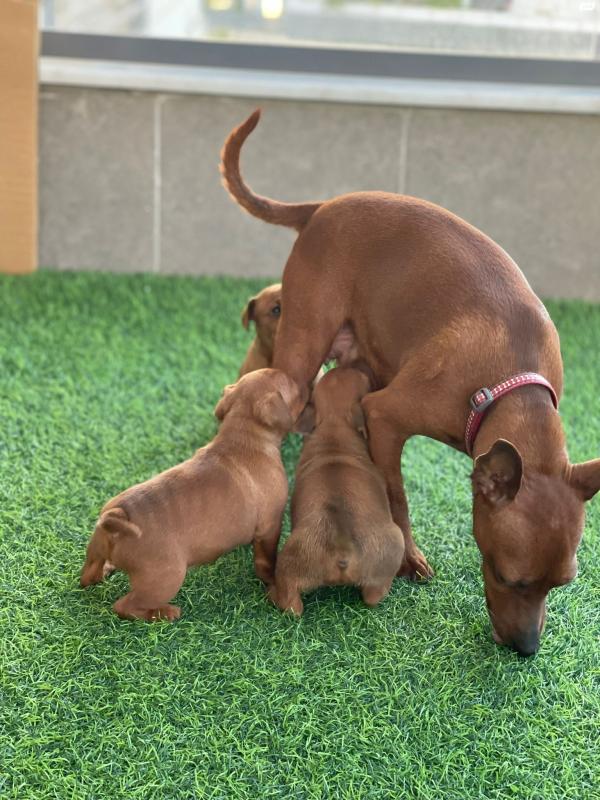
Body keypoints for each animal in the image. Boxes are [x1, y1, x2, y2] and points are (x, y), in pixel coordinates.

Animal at [80, 368, 305, 621]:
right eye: (294, 387)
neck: (244, 435)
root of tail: (118, 515)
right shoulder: (270, 526)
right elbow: (266, 559)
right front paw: (270, 579)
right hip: (166, 578)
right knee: (125, 606)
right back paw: (163, 613)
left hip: (97, 550)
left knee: (88, 576)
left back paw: (105, 570)